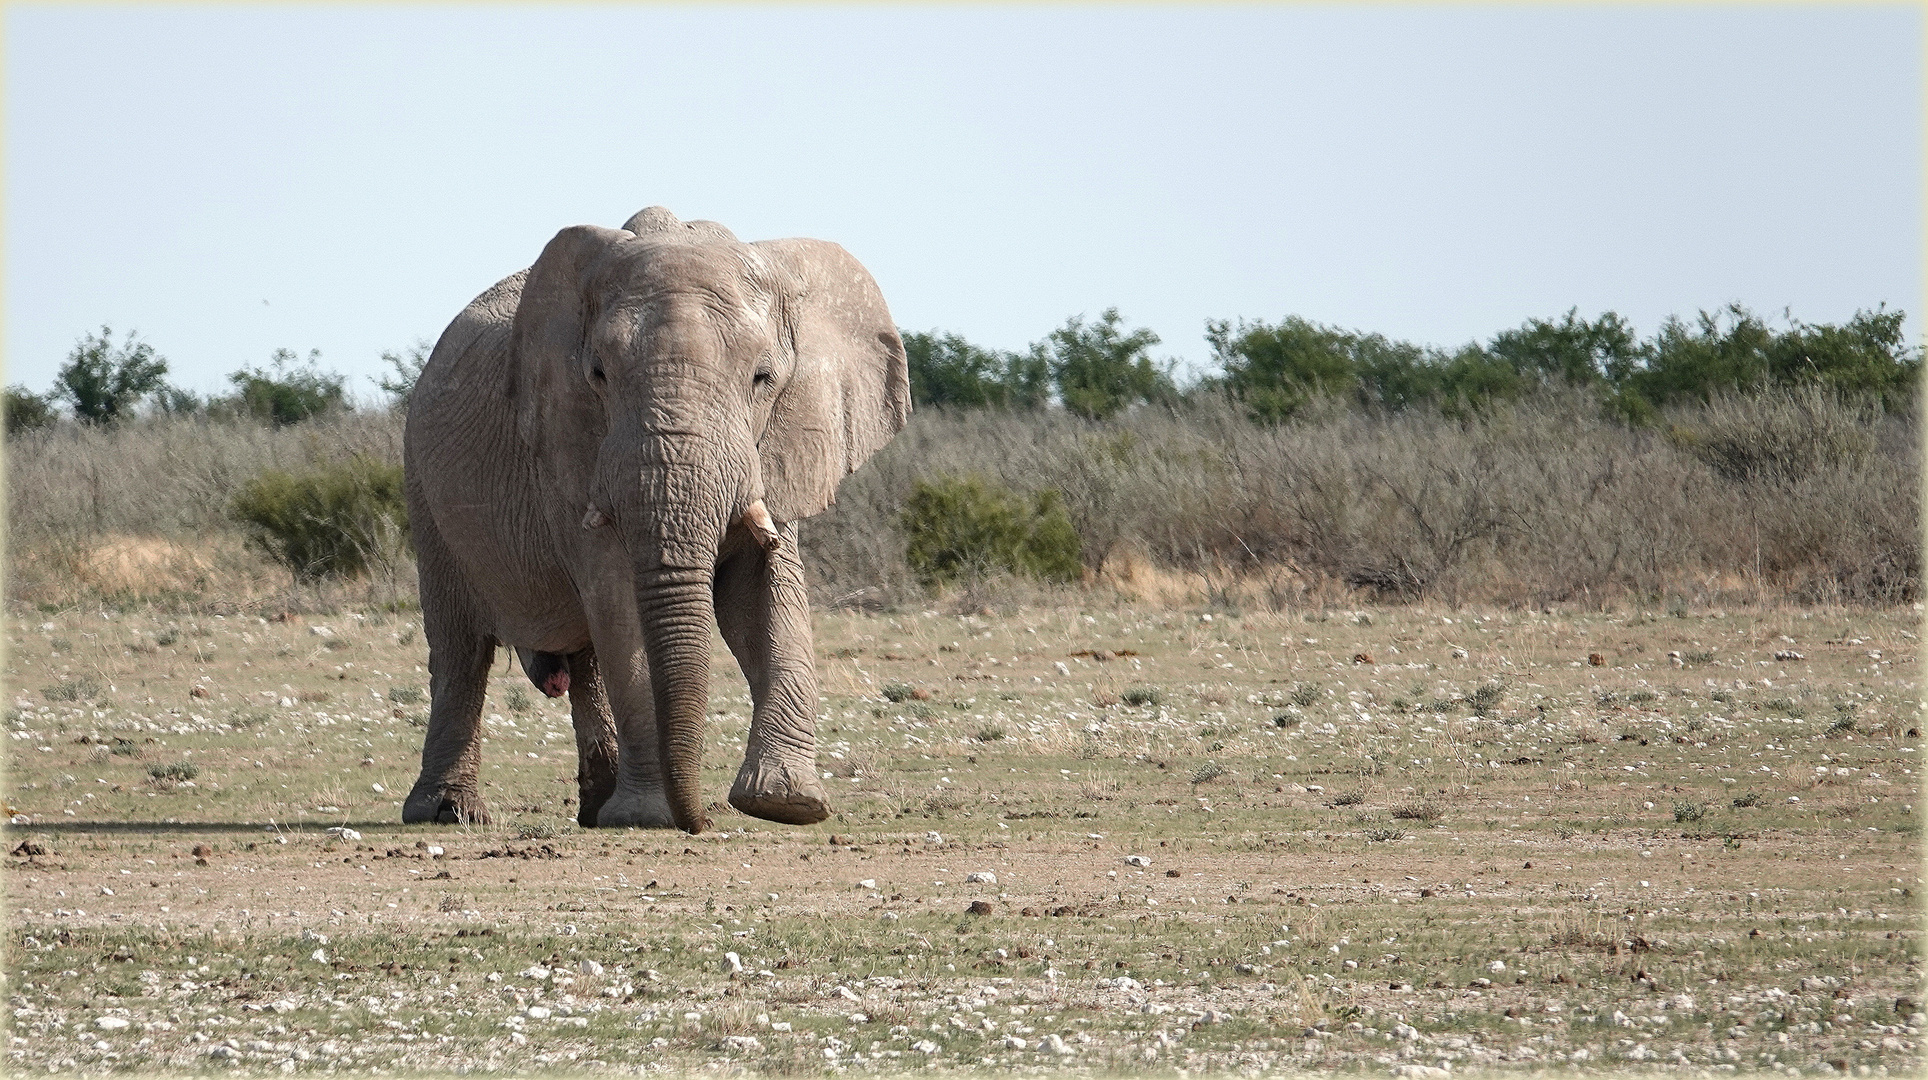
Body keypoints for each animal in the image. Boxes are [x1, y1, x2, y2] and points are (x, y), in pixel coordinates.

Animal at [399, 209, 910, 837]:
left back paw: (595, 811)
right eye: (598, 375)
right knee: (461, 648)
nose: (702, 822)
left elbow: (766, 597)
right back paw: (447, 813)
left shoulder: (774, 451)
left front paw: (787, 804)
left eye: (763, 378)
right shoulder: (571, 450)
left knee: (582, 657)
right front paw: (650, 817)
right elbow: (621, 606)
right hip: (422, 482)